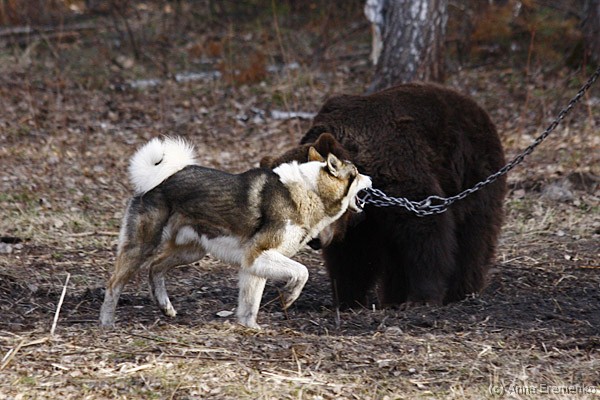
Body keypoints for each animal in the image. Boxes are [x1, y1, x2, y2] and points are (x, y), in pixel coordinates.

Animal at [99, 137, 371, 329]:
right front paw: (288, 298)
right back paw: (107, 323)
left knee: (155, 268)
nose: (371, 178)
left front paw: (248, 327)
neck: (309, 191)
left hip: (192, 252)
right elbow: (302, 272)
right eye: (357, 173)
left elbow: (250, 303)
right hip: (141, 247)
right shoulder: (257, 255)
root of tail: (156, 181)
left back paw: (165, 307)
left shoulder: (254, 264)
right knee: (114, 284)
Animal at [260, 82, 507, 309]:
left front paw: (422, 297)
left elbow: (425, 234)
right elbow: (352, 255)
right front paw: (347, 298)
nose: (314, 240)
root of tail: (473, 105)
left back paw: (462, 291)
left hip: (473, 173)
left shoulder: (401, 174)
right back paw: (393, 298)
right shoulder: (358, 222)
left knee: (474, 235)